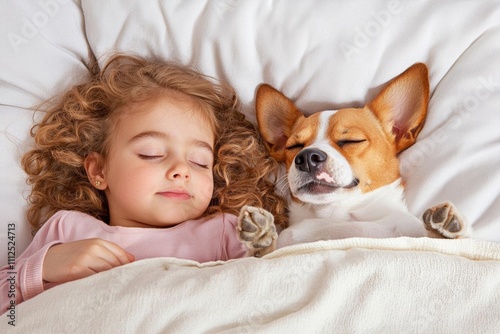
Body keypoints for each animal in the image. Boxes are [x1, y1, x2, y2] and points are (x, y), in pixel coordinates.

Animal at [238, 63, 468, 256]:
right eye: (294, 147)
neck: (339, 216)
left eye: (351, 141)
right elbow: (265, 255)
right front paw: (261, 236)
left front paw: (443, 231)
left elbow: (435, 243)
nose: (307, 157)